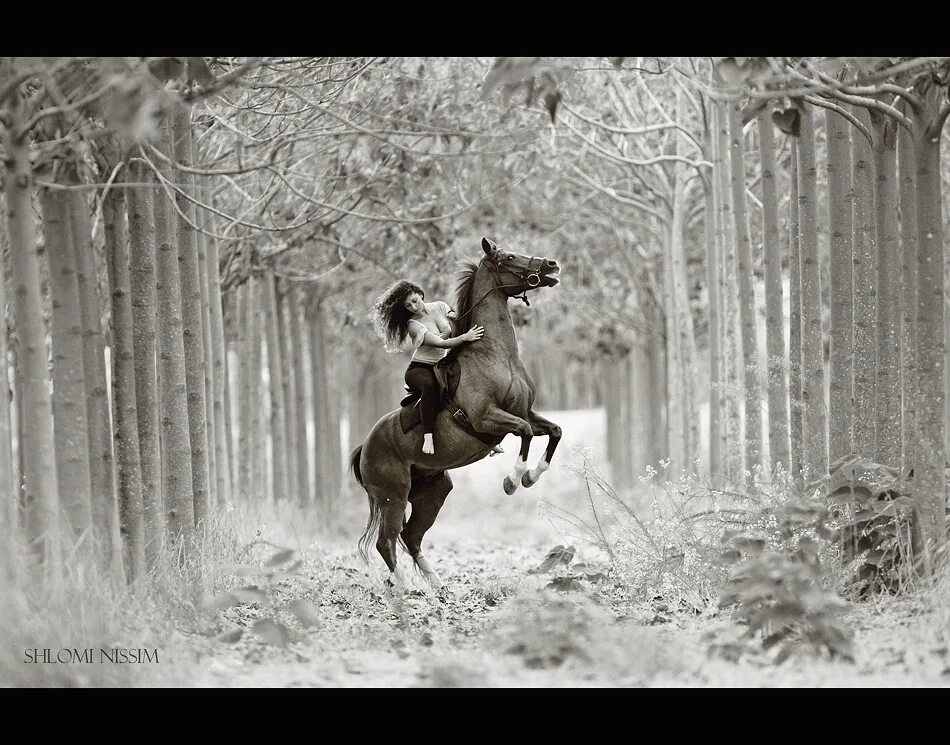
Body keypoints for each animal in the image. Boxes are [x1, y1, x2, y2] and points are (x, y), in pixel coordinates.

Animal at [356, 238, 564, 588]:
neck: (494, 355)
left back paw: (437, 587)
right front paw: (513, 479)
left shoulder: (525, 412)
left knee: (411, 537)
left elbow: (554, 431)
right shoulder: (487, 417)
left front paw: (532, 476)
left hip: (434, 491)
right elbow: (523, 432)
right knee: (387, 541)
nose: (551, 264)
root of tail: (363, 448)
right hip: (393, 498)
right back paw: (405, 589)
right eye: (509, 256)